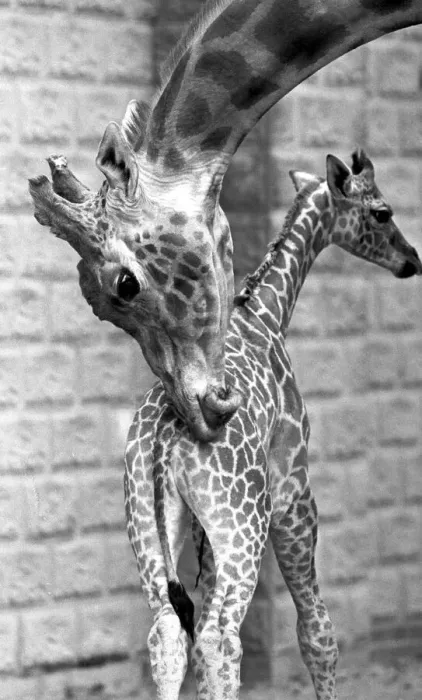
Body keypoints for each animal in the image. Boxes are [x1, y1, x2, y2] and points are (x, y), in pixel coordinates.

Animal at [121, 149, 422, 700]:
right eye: (382, 212)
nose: (411, 259)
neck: (268, 311)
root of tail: (164, 435)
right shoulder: (294, 495)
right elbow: (318, 629)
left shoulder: (205, 532)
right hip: (246, 525)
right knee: (220, 635)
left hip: (151, 525)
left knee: (170, 633)